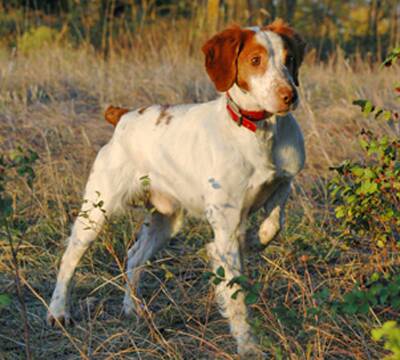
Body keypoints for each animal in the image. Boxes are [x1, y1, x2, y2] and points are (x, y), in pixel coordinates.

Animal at [48, 19, 306, 358]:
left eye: (290, 59)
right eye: (255, 60)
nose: (290, 96)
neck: (259, 132)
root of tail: (124, 116)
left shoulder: (283, 182)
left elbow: (274, 223)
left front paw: (253, 239)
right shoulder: (225, 227)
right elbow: (235, 295)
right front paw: (247, 344)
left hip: (166, 219)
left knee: (135, 256)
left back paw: (134, 309)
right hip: (95, 212)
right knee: (69, 259)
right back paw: (58, 311)